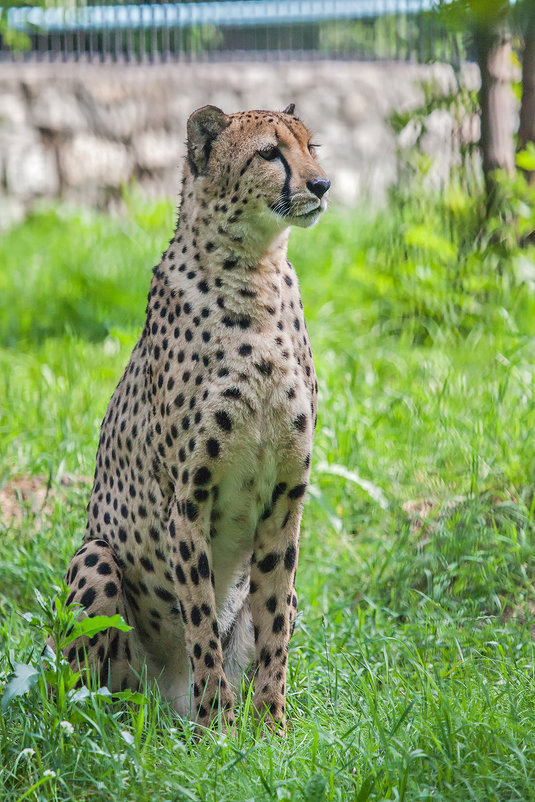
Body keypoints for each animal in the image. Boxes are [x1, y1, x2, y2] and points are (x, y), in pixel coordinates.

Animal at [56, 101, 328, 732]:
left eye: (312, 148)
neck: (255, 273)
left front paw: (271, 727)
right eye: (269, 153)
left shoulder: (286, 499)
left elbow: (272, 625)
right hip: (95, 560)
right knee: (86, 703)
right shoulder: (187, 501)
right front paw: (220, 733)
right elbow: (200, 620)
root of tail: (165, 707)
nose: (322, 184)